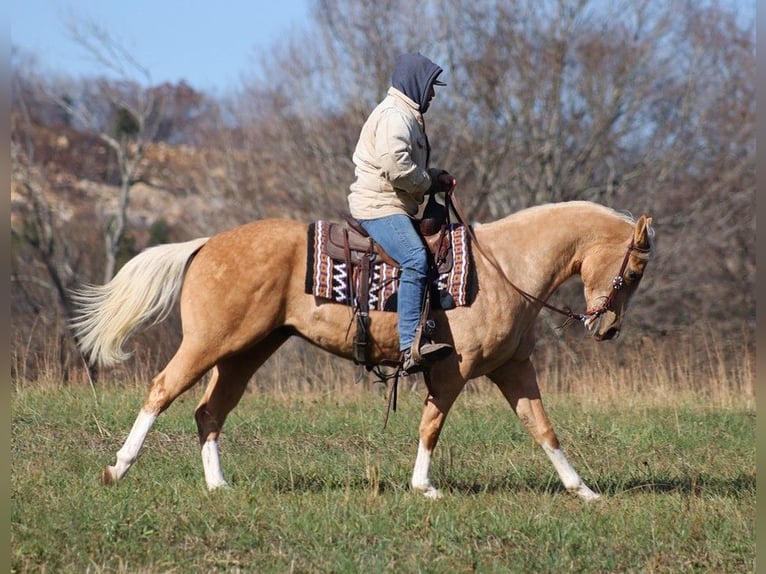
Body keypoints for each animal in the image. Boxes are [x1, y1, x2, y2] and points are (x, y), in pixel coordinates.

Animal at [72, 200, 656, 502]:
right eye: (633, 272)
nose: (607, 329)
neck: (503, 267)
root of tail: (205, 244)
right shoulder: (453, 371)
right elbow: (431, 425)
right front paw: (424, 486)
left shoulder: (513, 369)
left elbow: (543, 429)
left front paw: (584, 491)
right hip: (210, 343)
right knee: (162, 391)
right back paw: (117, 470)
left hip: (247, 351)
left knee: (208, 411)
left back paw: (218, 485)